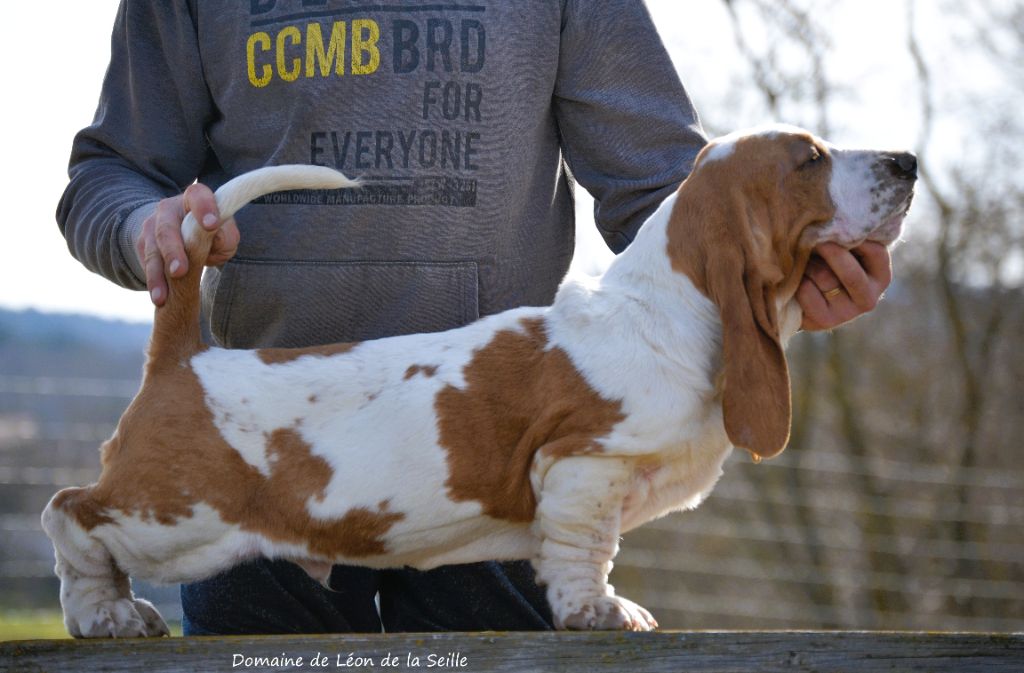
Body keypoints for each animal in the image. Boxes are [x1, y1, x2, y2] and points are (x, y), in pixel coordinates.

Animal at [44, 124, 917, 635]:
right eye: (810, 158)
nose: (908, 160)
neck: (669, 308)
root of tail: (183, 357)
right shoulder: (583, 464)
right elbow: (585, 548)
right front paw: (600, 610)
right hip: (177, 512)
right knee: (70, 513)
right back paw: (108, 613)